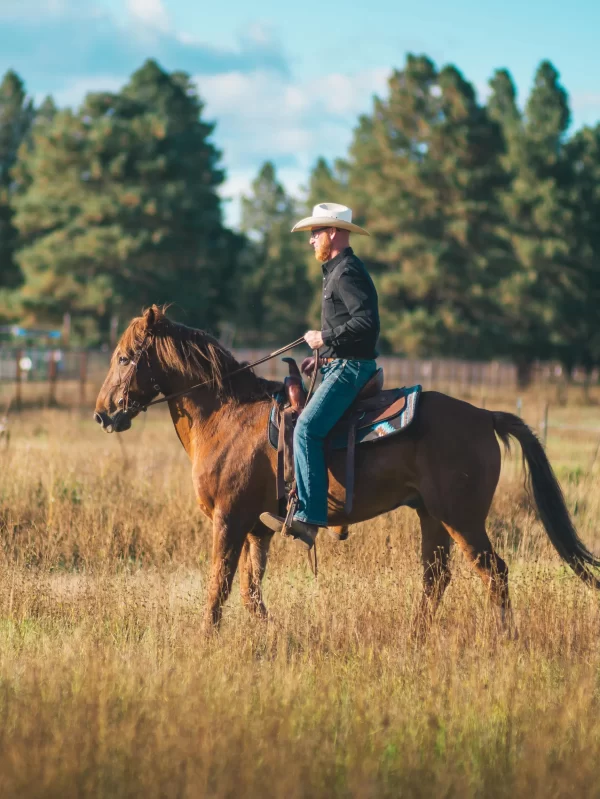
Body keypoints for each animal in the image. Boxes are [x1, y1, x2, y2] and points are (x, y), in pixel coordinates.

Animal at [94, 306, 600, 632]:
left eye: (124, 357)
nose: (103, 414)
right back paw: (415, 637)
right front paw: (269, 634)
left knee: (493, 572)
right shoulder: (256, 528)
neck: (227, 415)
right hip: (432, 516)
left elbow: (219, 584)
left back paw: (502, 637)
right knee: (436, 577)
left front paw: (206, 639)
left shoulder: (229, 519)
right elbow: (250, 590)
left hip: (463, 519)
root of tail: (484, 415)